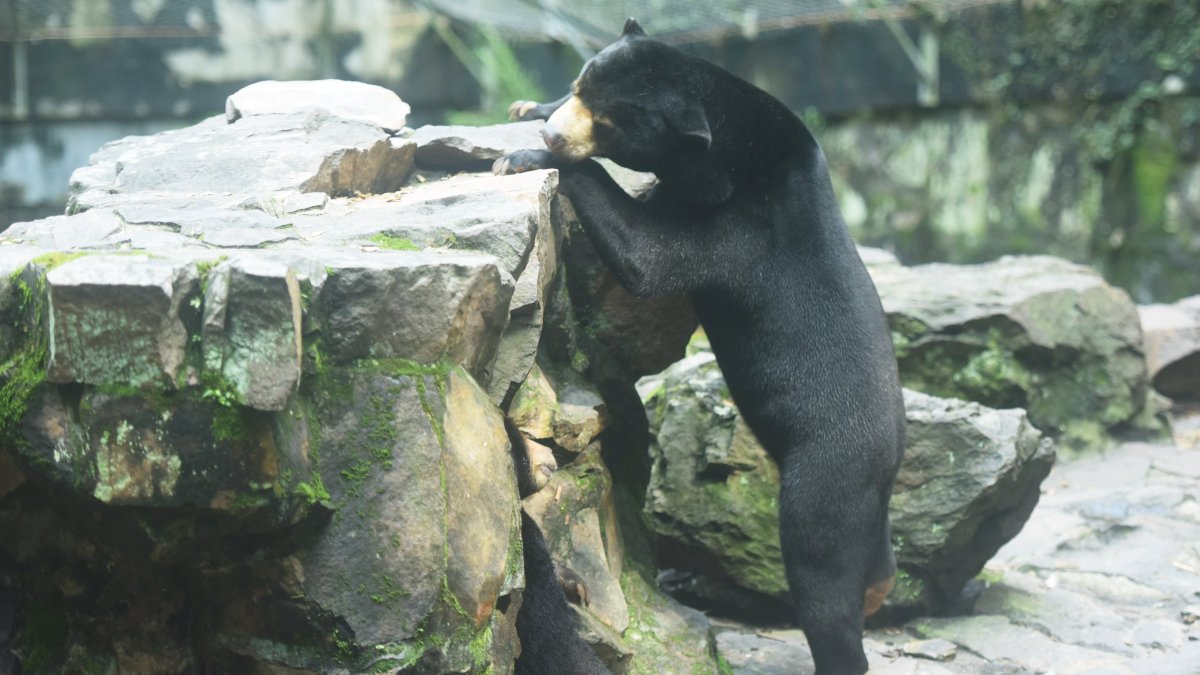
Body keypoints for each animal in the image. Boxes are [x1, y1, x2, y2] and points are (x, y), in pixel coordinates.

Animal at [495, 19, 906, 675]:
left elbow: (650, 255)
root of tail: (891, 459)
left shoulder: (740, 225)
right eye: (581, 86)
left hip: (829, 472)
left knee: (821, 571)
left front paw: (523, 157)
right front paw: (526, 107)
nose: (555, 136)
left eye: (609, 123)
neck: (726, 140)